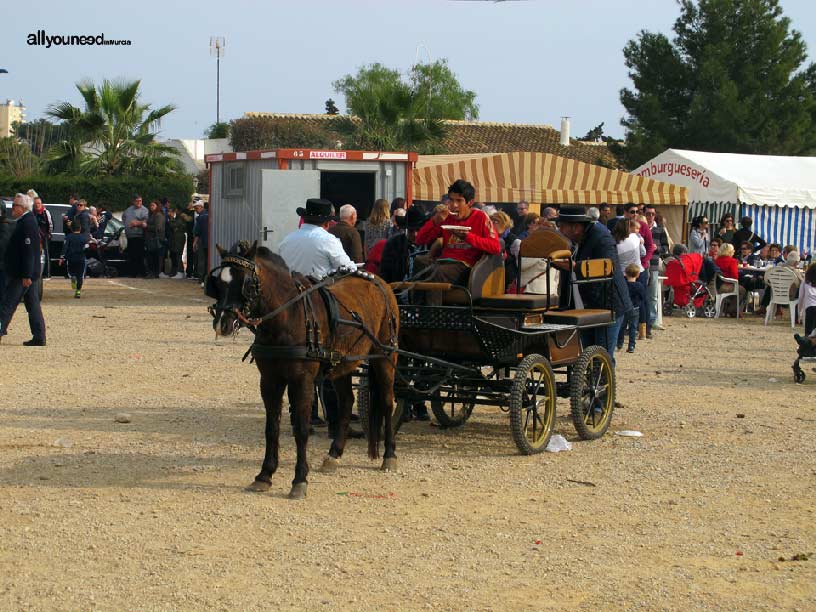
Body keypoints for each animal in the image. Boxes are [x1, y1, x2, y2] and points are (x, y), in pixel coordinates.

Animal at [209, 241, 400, 500]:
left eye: (247, 284)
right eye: (219, 283)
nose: (222, 323)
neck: (287, 317)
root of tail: (380, 282)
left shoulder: (302, 381)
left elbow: (300, 429)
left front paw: (299, 479)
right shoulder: (269, 381)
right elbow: (272, 428)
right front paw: (264, 475)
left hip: (385, 357)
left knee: (388, 403)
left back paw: (389, 455)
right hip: (341, 365)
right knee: (346, 402)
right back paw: (334, 454)